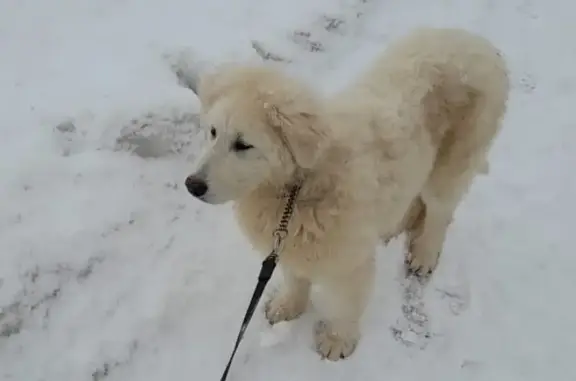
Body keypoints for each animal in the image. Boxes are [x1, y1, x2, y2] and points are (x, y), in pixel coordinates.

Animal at [184, 26, 508, 360]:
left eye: (243, 145)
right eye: (212, 132)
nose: (192, 185)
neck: (301, 186)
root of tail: (476, 41)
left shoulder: (349, 260)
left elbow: (346, 305)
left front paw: (337, 342)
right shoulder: (289, 241)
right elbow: (296, 277)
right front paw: (288, 307)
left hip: (455, 157)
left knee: (440, 211)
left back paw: (424, 254)